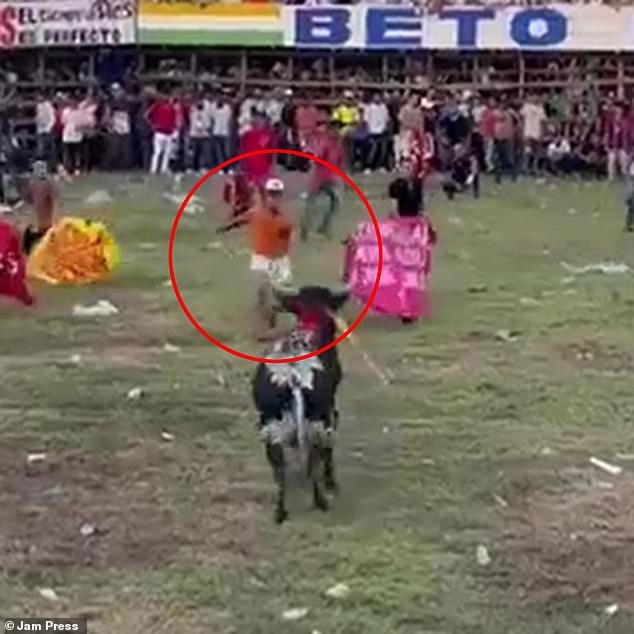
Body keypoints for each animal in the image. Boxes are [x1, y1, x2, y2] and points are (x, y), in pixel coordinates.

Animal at [251, 284, 348, 520]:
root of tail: (293, 376)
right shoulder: (331, 411)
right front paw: (331, 484)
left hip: (270, 427)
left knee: (279, 469)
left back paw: (280, 512)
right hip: (318, 423)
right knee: (314, 461)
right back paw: (321, 501)